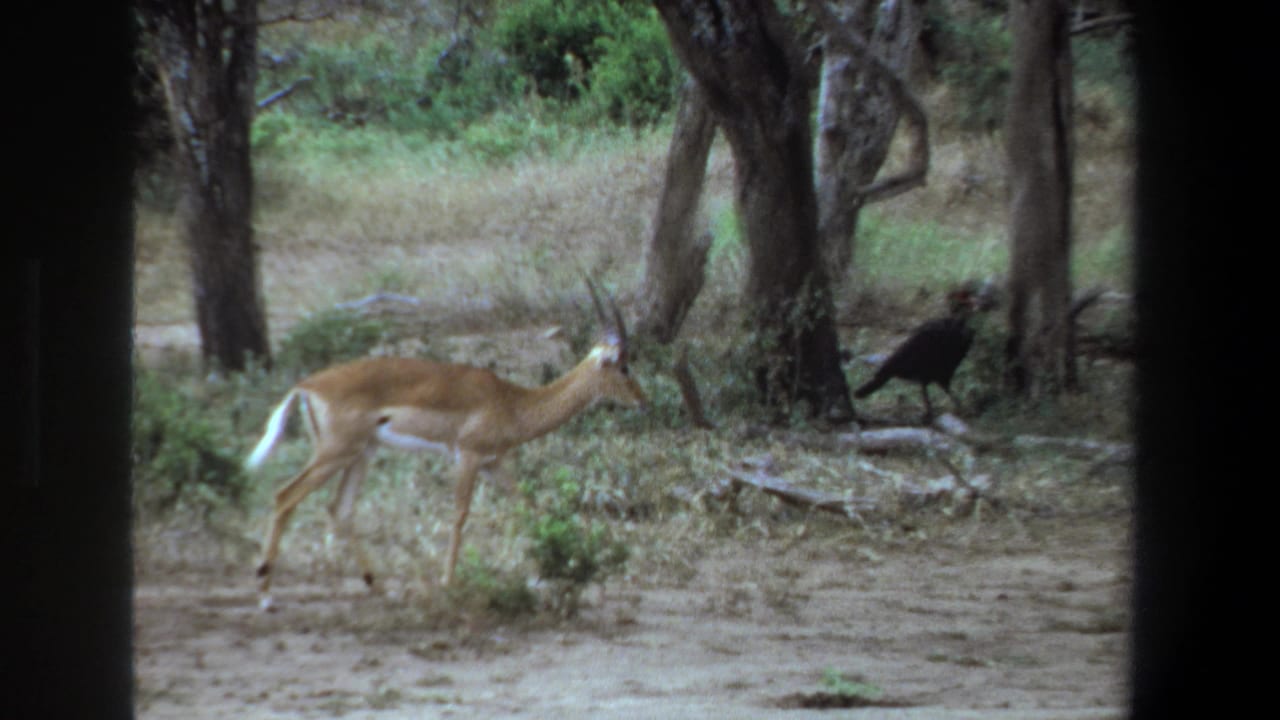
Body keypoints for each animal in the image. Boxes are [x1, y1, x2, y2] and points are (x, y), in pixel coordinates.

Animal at [245, 281, 647, 609]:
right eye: (624, 366)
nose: (643, 400)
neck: (512, 402)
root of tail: (305, 386)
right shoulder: (467, 457)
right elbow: (459, 516)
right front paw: (448, 582)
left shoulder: (494, 464)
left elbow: (527, 507)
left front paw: (551, 569)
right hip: (335, 454)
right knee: (285, 496)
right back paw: (266, 596)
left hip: (361, 454)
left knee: (339, 509)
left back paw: (378, 586)